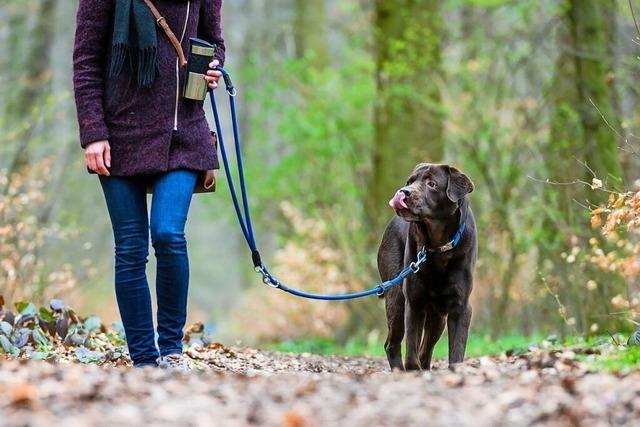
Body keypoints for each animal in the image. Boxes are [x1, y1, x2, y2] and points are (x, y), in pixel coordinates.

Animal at [378, 164, 478, 372]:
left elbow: (456, 351)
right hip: (397, 299)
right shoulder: (414, 302)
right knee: (393, 344)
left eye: (431, 183)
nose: (404, 192)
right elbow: (411, 352)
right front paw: (412, 369)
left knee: (425, 348)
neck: (438, 246)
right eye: (410, 181)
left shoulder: (461, 306)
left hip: (438, 316)